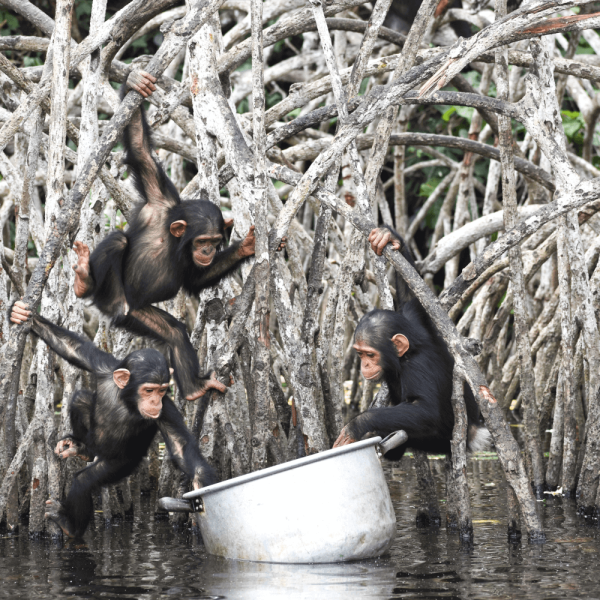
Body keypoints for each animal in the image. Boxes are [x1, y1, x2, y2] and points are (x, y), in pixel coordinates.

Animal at [10, 300, 217, 540]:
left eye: (162, 390)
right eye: (149, 390)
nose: (155, 401)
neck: (127, 398)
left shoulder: (166, 409)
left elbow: (180, 446)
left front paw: (201, 483)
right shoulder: (104, 367)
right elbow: (73, 348)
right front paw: (24, 315)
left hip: (119, 463)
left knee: (85, 481)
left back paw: (70, 525)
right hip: (94, 440)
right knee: (80, 399)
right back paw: (80, 447)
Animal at [72, 70, 284, 400]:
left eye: (214, 243)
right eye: (202, 242)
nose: (207, 252)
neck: (175, 241)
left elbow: (195, 281)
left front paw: (248, 246)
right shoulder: (158, 199)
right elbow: (140, 151)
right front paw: (135, 81)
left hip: (137, 314)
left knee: (173, 332)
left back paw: (195, 388)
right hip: (113, 299)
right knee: (118, 243)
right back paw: (84, 280)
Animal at [336, 227, 490, 458]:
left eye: (370, 354)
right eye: (360, 354)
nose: (365, 364)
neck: (403, 357)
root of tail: (475, 432)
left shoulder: (417, 367)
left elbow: (425, 409)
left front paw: (357, 424)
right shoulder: (413, 320)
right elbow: (411, 297)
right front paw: (390, 238)